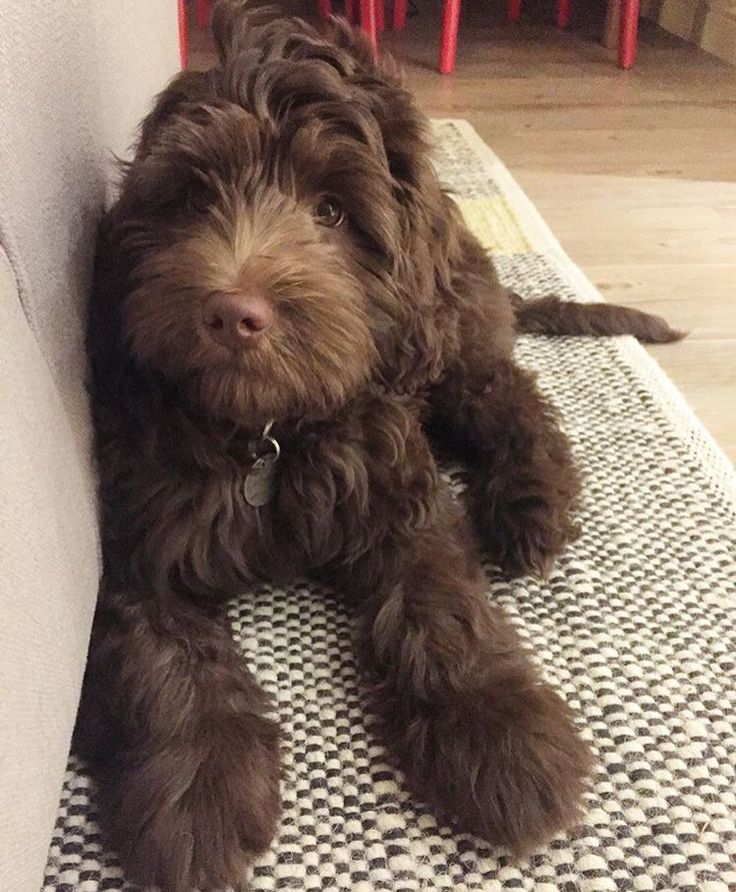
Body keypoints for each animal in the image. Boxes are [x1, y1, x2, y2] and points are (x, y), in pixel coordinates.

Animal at [76, 3, 684, 888]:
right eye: (191, 198)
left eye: (331, 211)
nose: (233, 313)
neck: (272, 434)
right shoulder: (141, 527)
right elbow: (165, 656)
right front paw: (197, 794)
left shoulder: (399, 491)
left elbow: (444, 602)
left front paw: (504, 738)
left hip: (450, 347)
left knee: (516, 399)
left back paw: (530, 509)